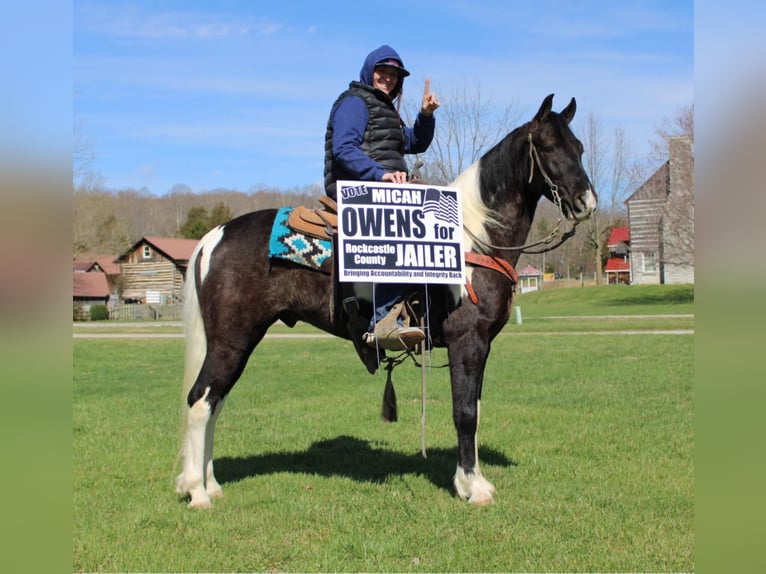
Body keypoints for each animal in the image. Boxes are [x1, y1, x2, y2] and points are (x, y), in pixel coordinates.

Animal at [176, 93, 600, 508]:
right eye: (548, 146)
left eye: (578, 147)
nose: (587, 202)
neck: (471, 239)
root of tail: (216, 235)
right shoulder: (467, 339)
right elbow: (465, 412)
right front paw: (471, 488)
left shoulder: (482, 345)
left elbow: (476, 409)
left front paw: (476, 479)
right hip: (232, 341)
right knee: (200, 401)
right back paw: (198, 491)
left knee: (214, 403)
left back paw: (211, 484)